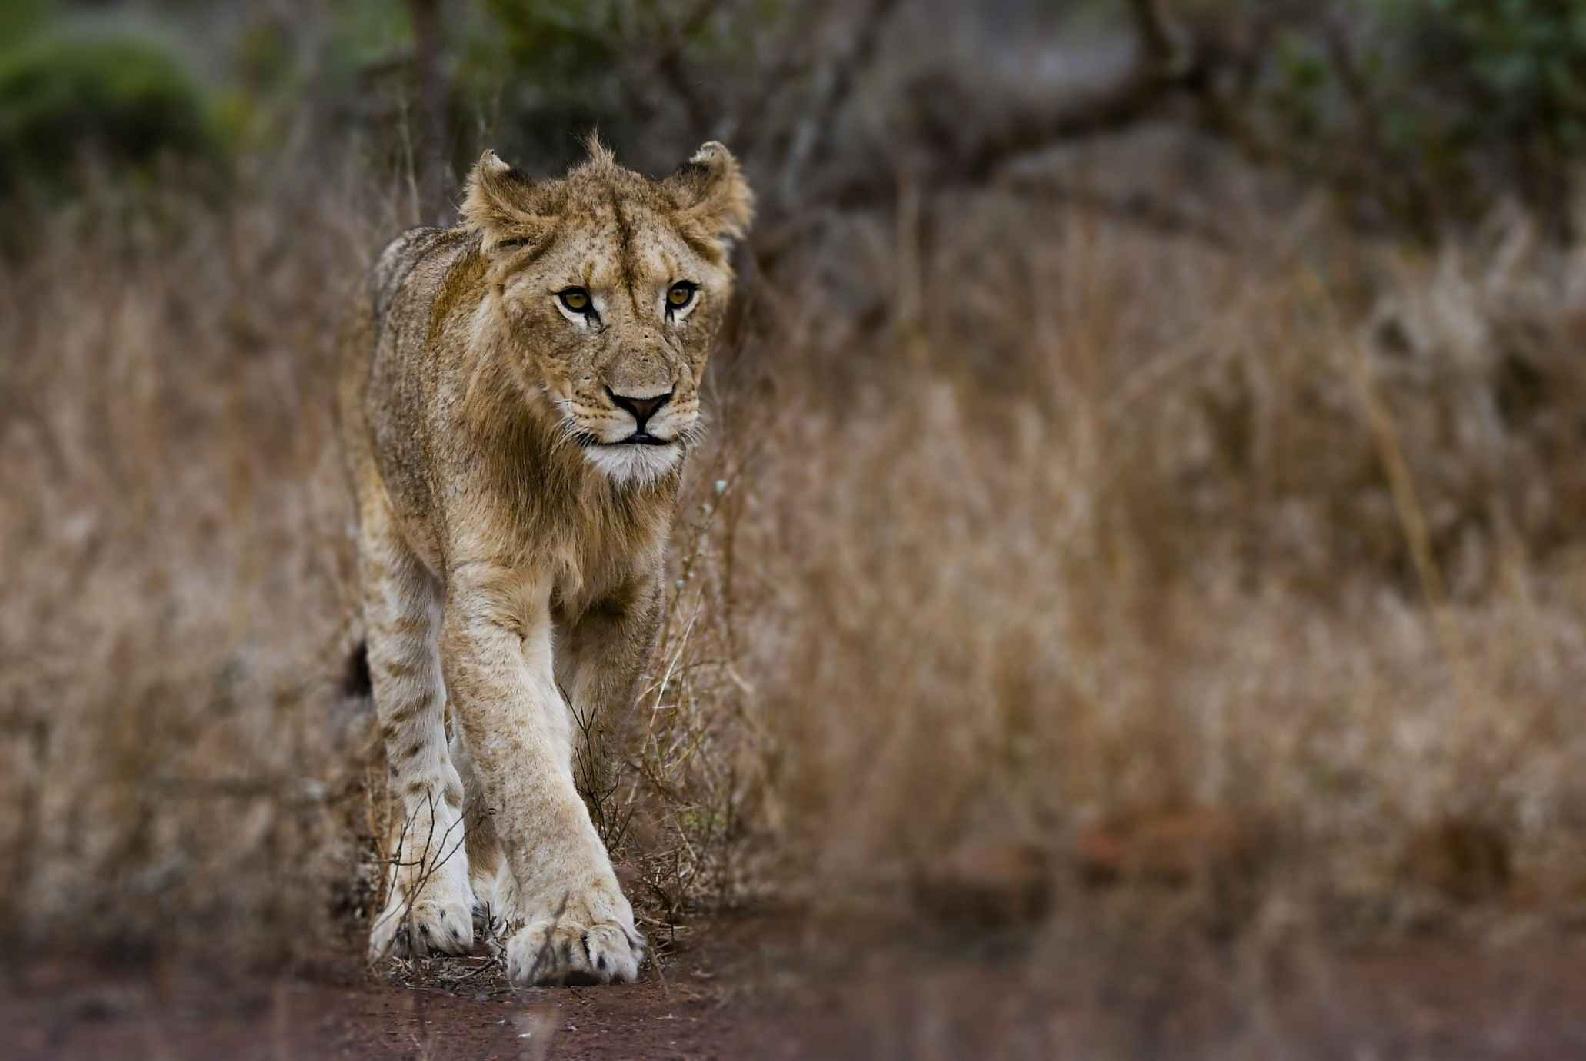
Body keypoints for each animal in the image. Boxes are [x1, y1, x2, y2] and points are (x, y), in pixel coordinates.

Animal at [333, 138, 748, 983]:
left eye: (680, 294)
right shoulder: (490, 602)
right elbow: (528, 762)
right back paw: (423, 906)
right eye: (576, 301)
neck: (583, 483)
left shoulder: (630, 598)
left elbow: (576, 749)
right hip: (392, 571)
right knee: (423, 761)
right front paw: (572, 927)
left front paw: (544, 904)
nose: (645, 405)